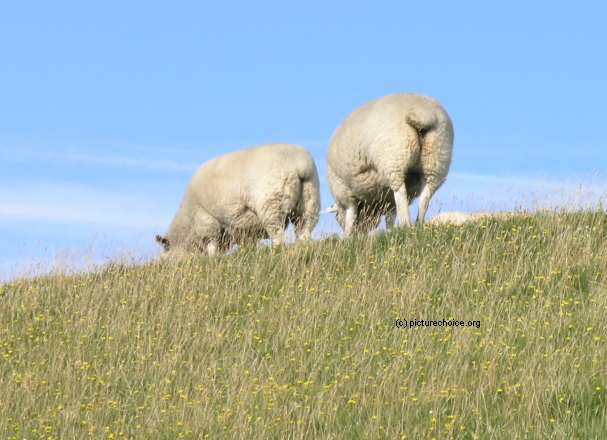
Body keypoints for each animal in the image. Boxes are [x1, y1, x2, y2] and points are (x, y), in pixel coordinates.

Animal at [156, 143, 324, 258]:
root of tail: (299, 166)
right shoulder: (245, 230)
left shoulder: (208, 222)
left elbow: (212, 247)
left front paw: (212, 260)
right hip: (309, 201)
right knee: (304, 232)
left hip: (272, 206)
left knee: (278, 237)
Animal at [326, 93, 454, 237]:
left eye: (337, 217)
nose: (360, 234)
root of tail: (422, 113)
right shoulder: (388, 199)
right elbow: (390, 216)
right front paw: (389, 232)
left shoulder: (345, 189)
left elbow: (351, 214)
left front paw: (347, 237)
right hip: (436, 162)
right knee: (425, 197)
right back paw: (418, 225)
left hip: (394, 157)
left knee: (401, 193)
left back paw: (405, 224)